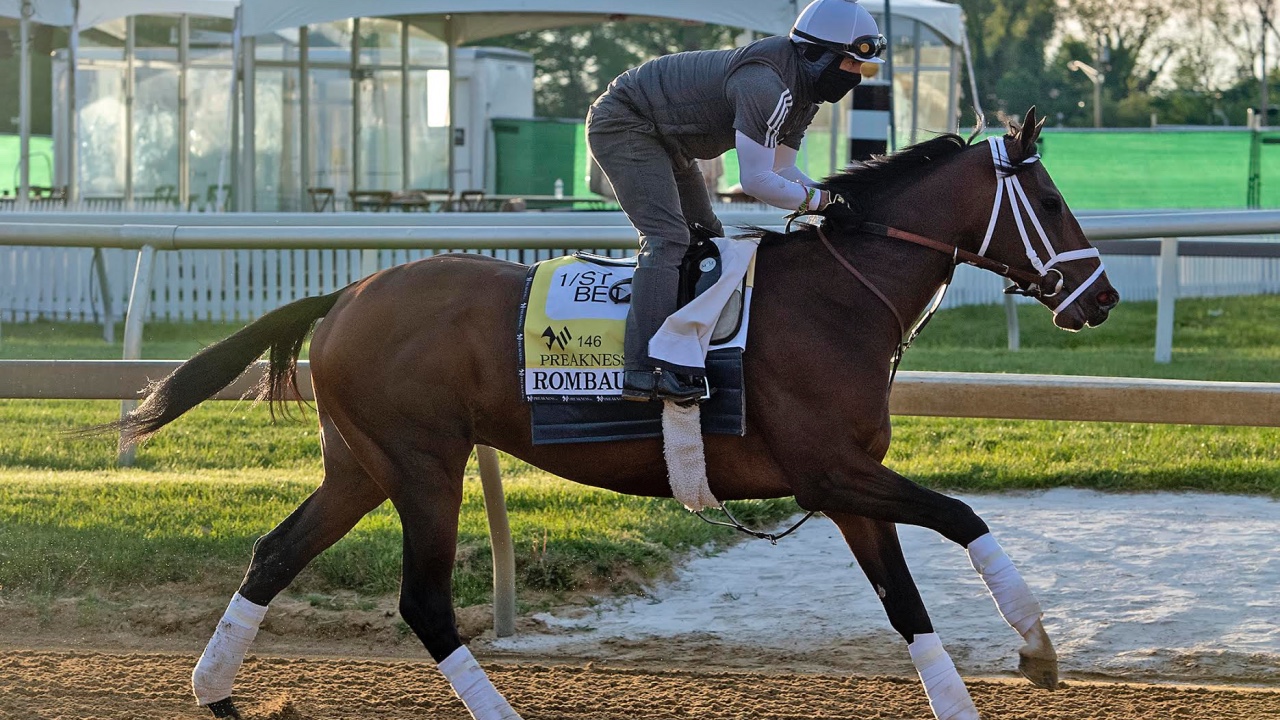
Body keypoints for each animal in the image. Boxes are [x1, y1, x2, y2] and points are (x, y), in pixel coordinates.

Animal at [104, 107, 1116, 717]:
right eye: (1051, 197)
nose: (1100, 298)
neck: (839, 298)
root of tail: (347, 293)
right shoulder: (831, 471)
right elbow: (965, 516)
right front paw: (1037, 649)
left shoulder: (849, 485)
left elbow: (906, 602)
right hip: (423, 466)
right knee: (424, 601)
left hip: (361, 465)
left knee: (274, 553)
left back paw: (214, 689)